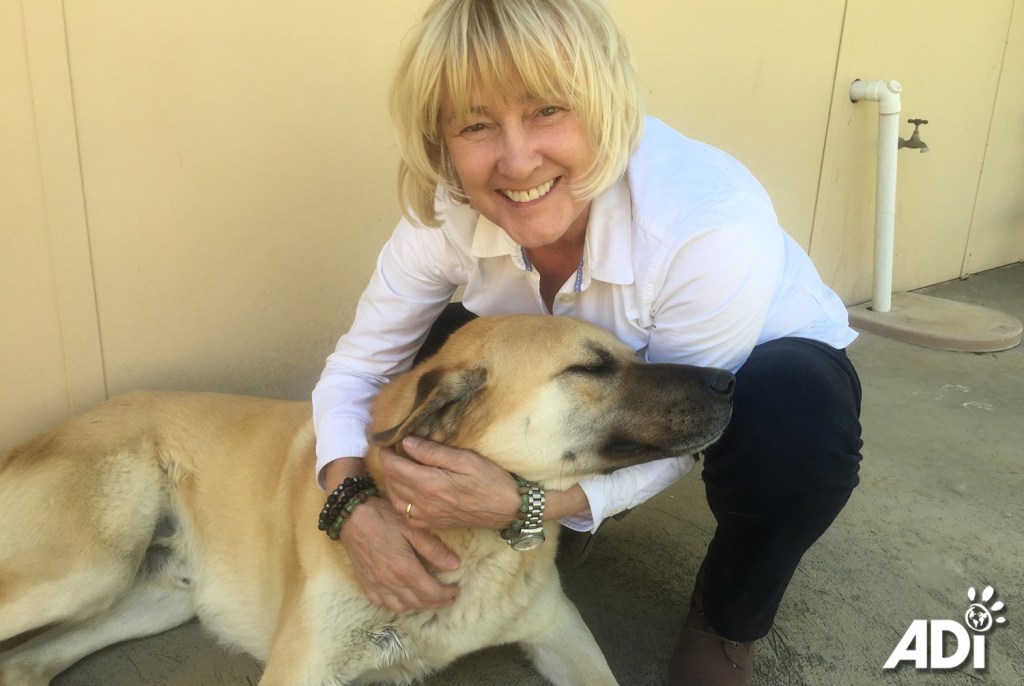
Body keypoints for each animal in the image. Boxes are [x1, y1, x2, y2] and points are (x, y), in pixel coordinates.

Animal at [0, 314, 733, 685]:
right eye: (591, 368)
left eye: (633, 353)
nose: (730, 381)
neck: (470, 551)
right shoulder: (299, 669)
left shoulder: (560, 629)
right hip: (85, 571)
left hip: (158, 595)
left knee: (24, 662)